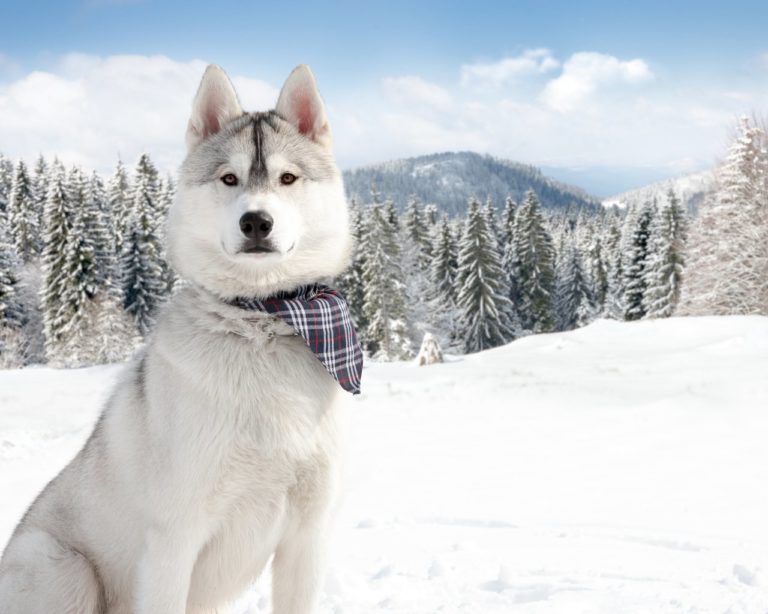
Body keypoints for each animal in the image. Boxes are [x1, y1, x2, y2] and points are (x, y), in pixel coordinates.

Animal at [0, 65, 354, 612]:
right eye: (229, 178)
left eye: (288, 178)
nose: (256, 221)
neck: (262, 323)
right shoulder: (173, 540)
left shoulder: (306, 539)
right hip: (63, 568)